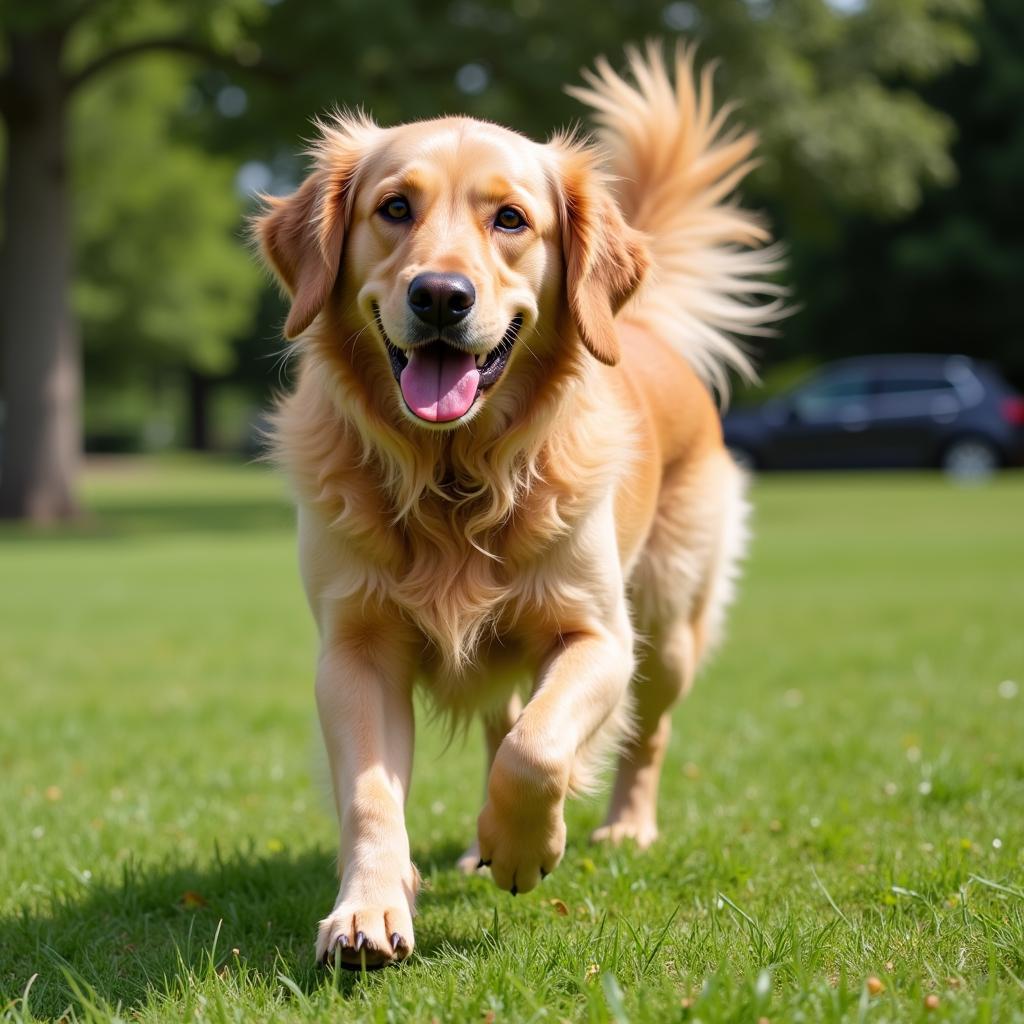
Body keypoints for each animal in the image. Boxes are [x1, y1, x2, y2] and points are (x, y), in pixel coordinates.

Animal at [256, 41, 782, 966]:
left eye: (510, 219)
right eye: (394, 207)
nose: (440, 295)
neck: (452, 477)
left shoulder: (600, 635)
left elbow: (540, 749)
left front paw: (526, 845)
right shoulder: (354, 649)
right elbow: (371, 793)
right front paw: (368, 910)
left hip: (670, 624)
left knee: (643, 732)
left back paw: (621, 828)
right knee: (505, 720)